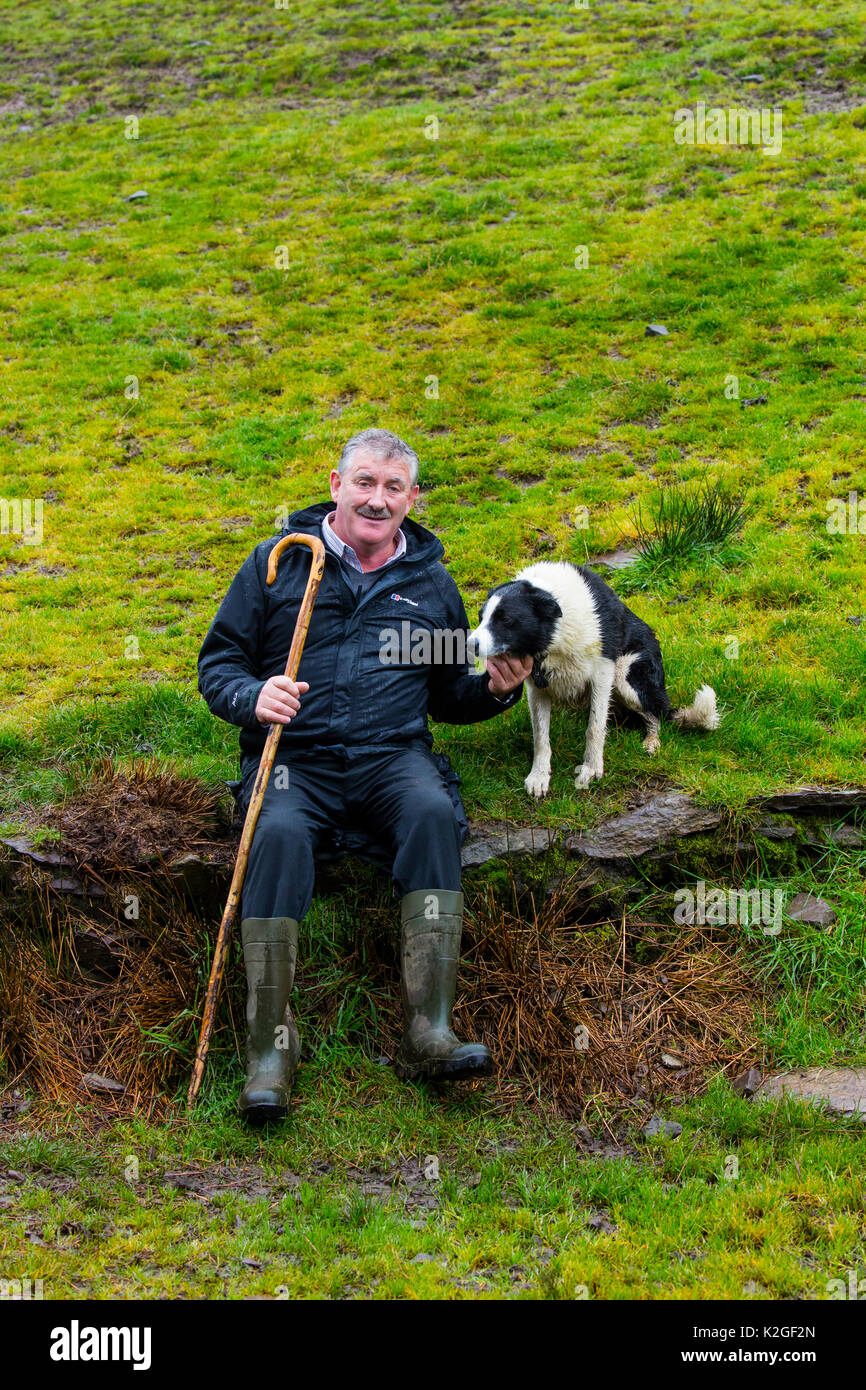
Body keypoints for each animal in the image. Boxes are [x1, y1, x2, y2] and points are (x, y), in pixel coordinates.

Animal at [467, 561, 717, 800]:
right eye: (481, 617)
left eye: (506, 619)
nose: (469, 644)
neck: (555, 630)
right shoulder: (537, 688)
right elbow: (541, 737)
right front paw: (539, 776)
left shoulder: (603, 673)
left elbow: (595, 727)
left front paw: (592, 768)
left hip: (626, 678)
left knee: (656, 715)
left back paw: (651, 741)